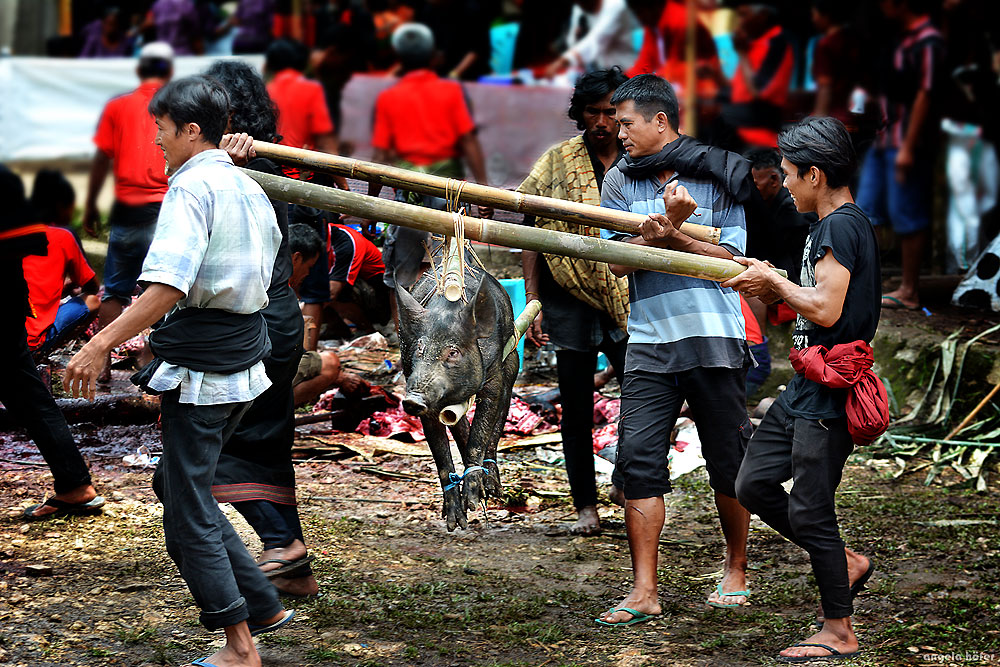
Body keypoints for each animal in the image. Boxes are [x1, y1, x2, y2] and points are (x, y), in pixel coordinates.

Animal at [392, 258, 516, 532]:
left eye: (453, 352)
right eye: (419, 348)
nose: (412, 400)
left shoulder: (494, 377)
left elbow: (481, 432)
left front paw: (473, 502)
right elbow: (441, 455)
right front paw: (455, 523)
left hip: (513, 360)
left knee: (496, 423)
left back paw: (493, 491)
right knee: (460, 425)